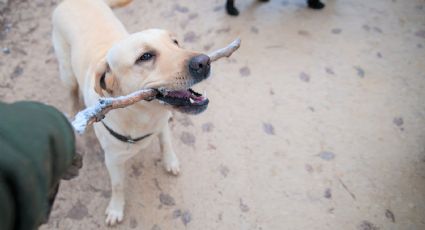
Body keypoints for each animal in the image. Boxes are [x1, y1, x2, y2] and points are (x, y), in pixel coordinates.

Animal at [51, 0, 210, 226]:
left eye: (176, 42)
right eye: (145, 56)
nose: (205, 61)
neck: (143, 116)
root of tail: (69, 2)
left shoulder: (161, 124)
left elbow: (166, 142)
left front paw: (170, 161)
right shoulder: (113, 160)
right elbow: (118, 186)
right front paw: (116, 208)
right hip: (66, 72)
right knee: (72, 92)